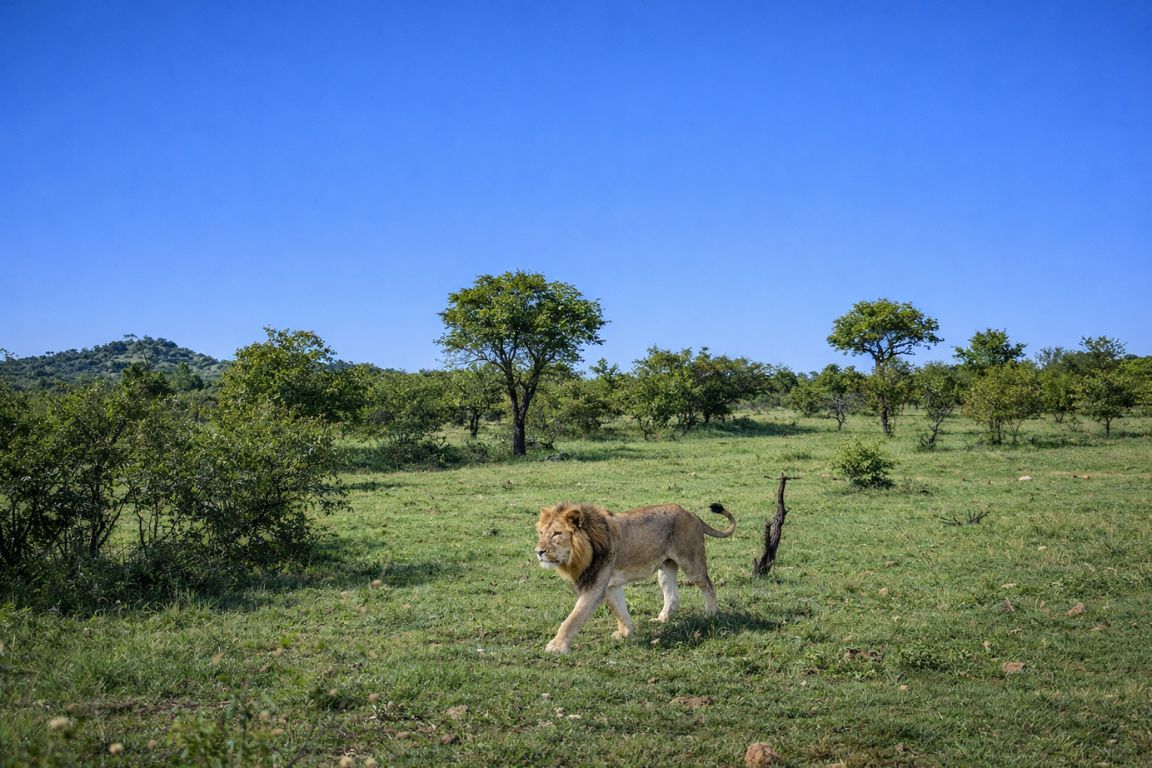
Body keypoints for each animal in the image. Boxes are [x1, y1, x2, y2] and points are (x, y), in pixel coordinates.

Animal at [534, 501, 735, 653]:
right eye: (541, 533)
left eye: (557, 534)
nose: (538, 551)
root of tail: (692, 514)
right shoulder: (610, 585)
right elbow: (620, 611)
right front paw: (626, 633)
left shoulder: (595, 588)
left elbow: (572, 619)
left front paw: (556, 647)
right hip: (665, 568)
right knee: (673, 596)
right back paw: (661, 619)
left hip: (692, 563)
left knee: (709, 586)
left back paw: (711, 615)